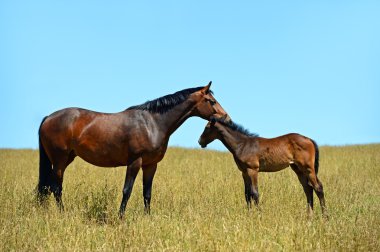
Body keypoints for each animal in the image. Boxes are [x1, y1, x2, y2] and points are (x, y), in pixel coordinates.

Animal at [37, 81, 232, 218]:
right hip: (60, 160)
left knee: (50, 187)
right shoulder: (134, 162)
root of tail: (48, 118)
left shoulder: (151, 165)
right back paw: (62, 213)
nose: (227, 119)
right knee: (56, 188)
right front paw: (120, 217)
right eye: (211, 101)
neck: (153, 123)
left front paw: (148, 217)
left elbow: (147, 193)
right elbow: (127, 190)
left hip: (67, 158)